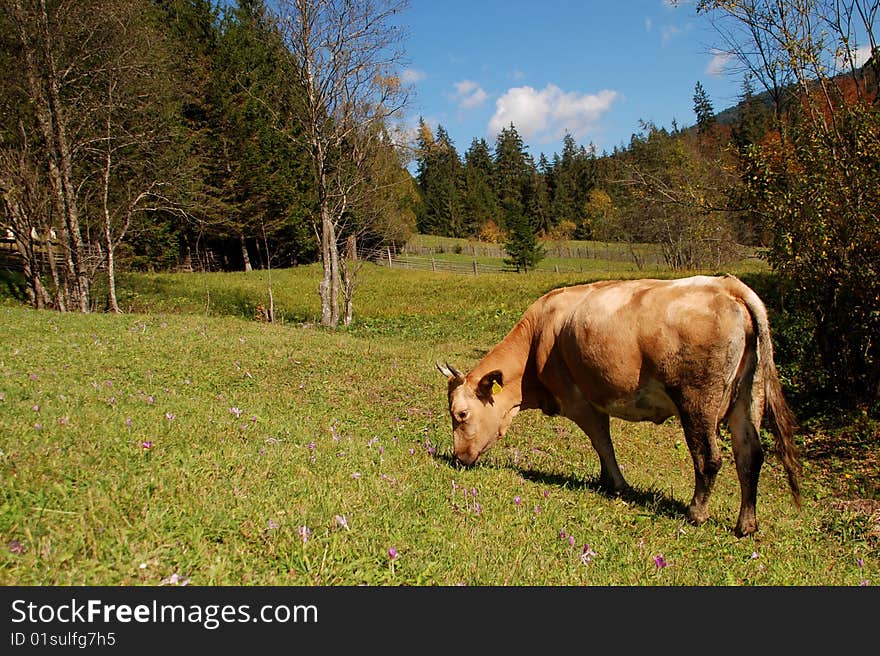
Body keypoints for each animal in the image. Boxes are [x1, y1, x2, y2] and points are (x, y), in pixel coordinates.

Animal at [436, 274, 800, 536]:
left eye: (461, 414)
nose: (459, 457)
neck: (538, 338)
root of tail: (726, 285)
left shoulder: (580, 401)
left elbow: (602, 442)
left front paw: (617, 484)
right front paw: (605, 480)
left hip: (697, 401)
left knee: (708, 458)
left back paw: (696, 513)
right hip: (749, 396)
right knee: (750, 454)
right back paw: (746, 524)